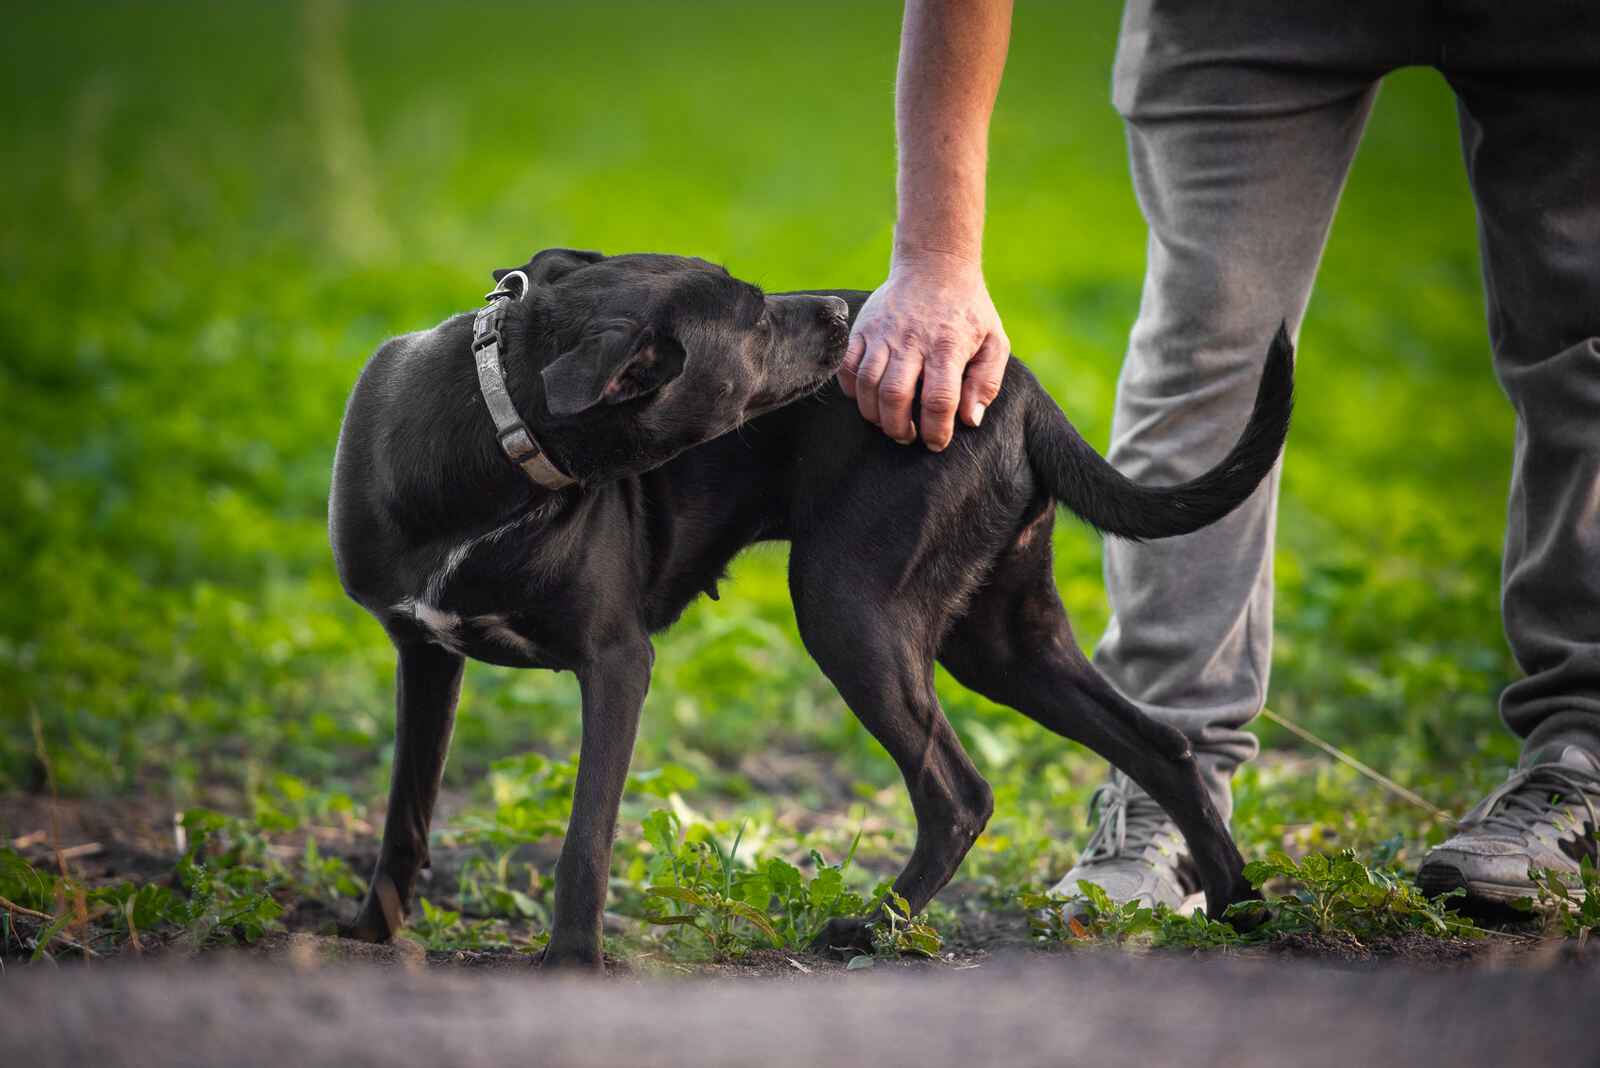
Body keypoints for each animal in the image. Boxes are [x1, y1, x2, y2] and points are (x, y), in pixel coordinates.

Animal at [328, 251, 1286, 965]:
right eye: (754, 320)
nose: (838, 314)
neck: (495, 430)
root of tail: (1018, 386)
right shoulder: (423, 652)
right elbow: (405, 812)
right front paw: (367, 936)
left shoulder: (616, 661)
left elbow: (584, 838)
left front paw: (571, 963)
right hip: (1003, 638)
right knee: (1161, 745)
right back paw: (1241, 909)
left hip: (847, 608)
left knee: (960, 791)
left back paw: (871, 927)